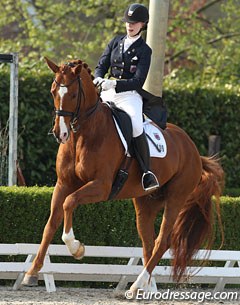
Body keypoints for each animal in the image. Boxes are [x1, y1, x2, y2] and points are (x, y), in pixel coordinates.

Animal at [22, 58, 223, 290]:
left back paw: (136, 286)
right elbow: (50, 224)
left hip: (176, 198)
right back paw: (144, 287)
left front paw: (76, 248)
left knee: (162, 241)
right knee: (149, 242)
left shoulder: (101, 186)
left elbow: (69, 202)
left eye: (72, 95)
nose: (59, 134)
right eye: (53, 91)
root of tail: (193, 150)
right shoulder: (63, 183)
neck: (84, 135)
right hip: (146, 203)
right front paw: (32, 272)